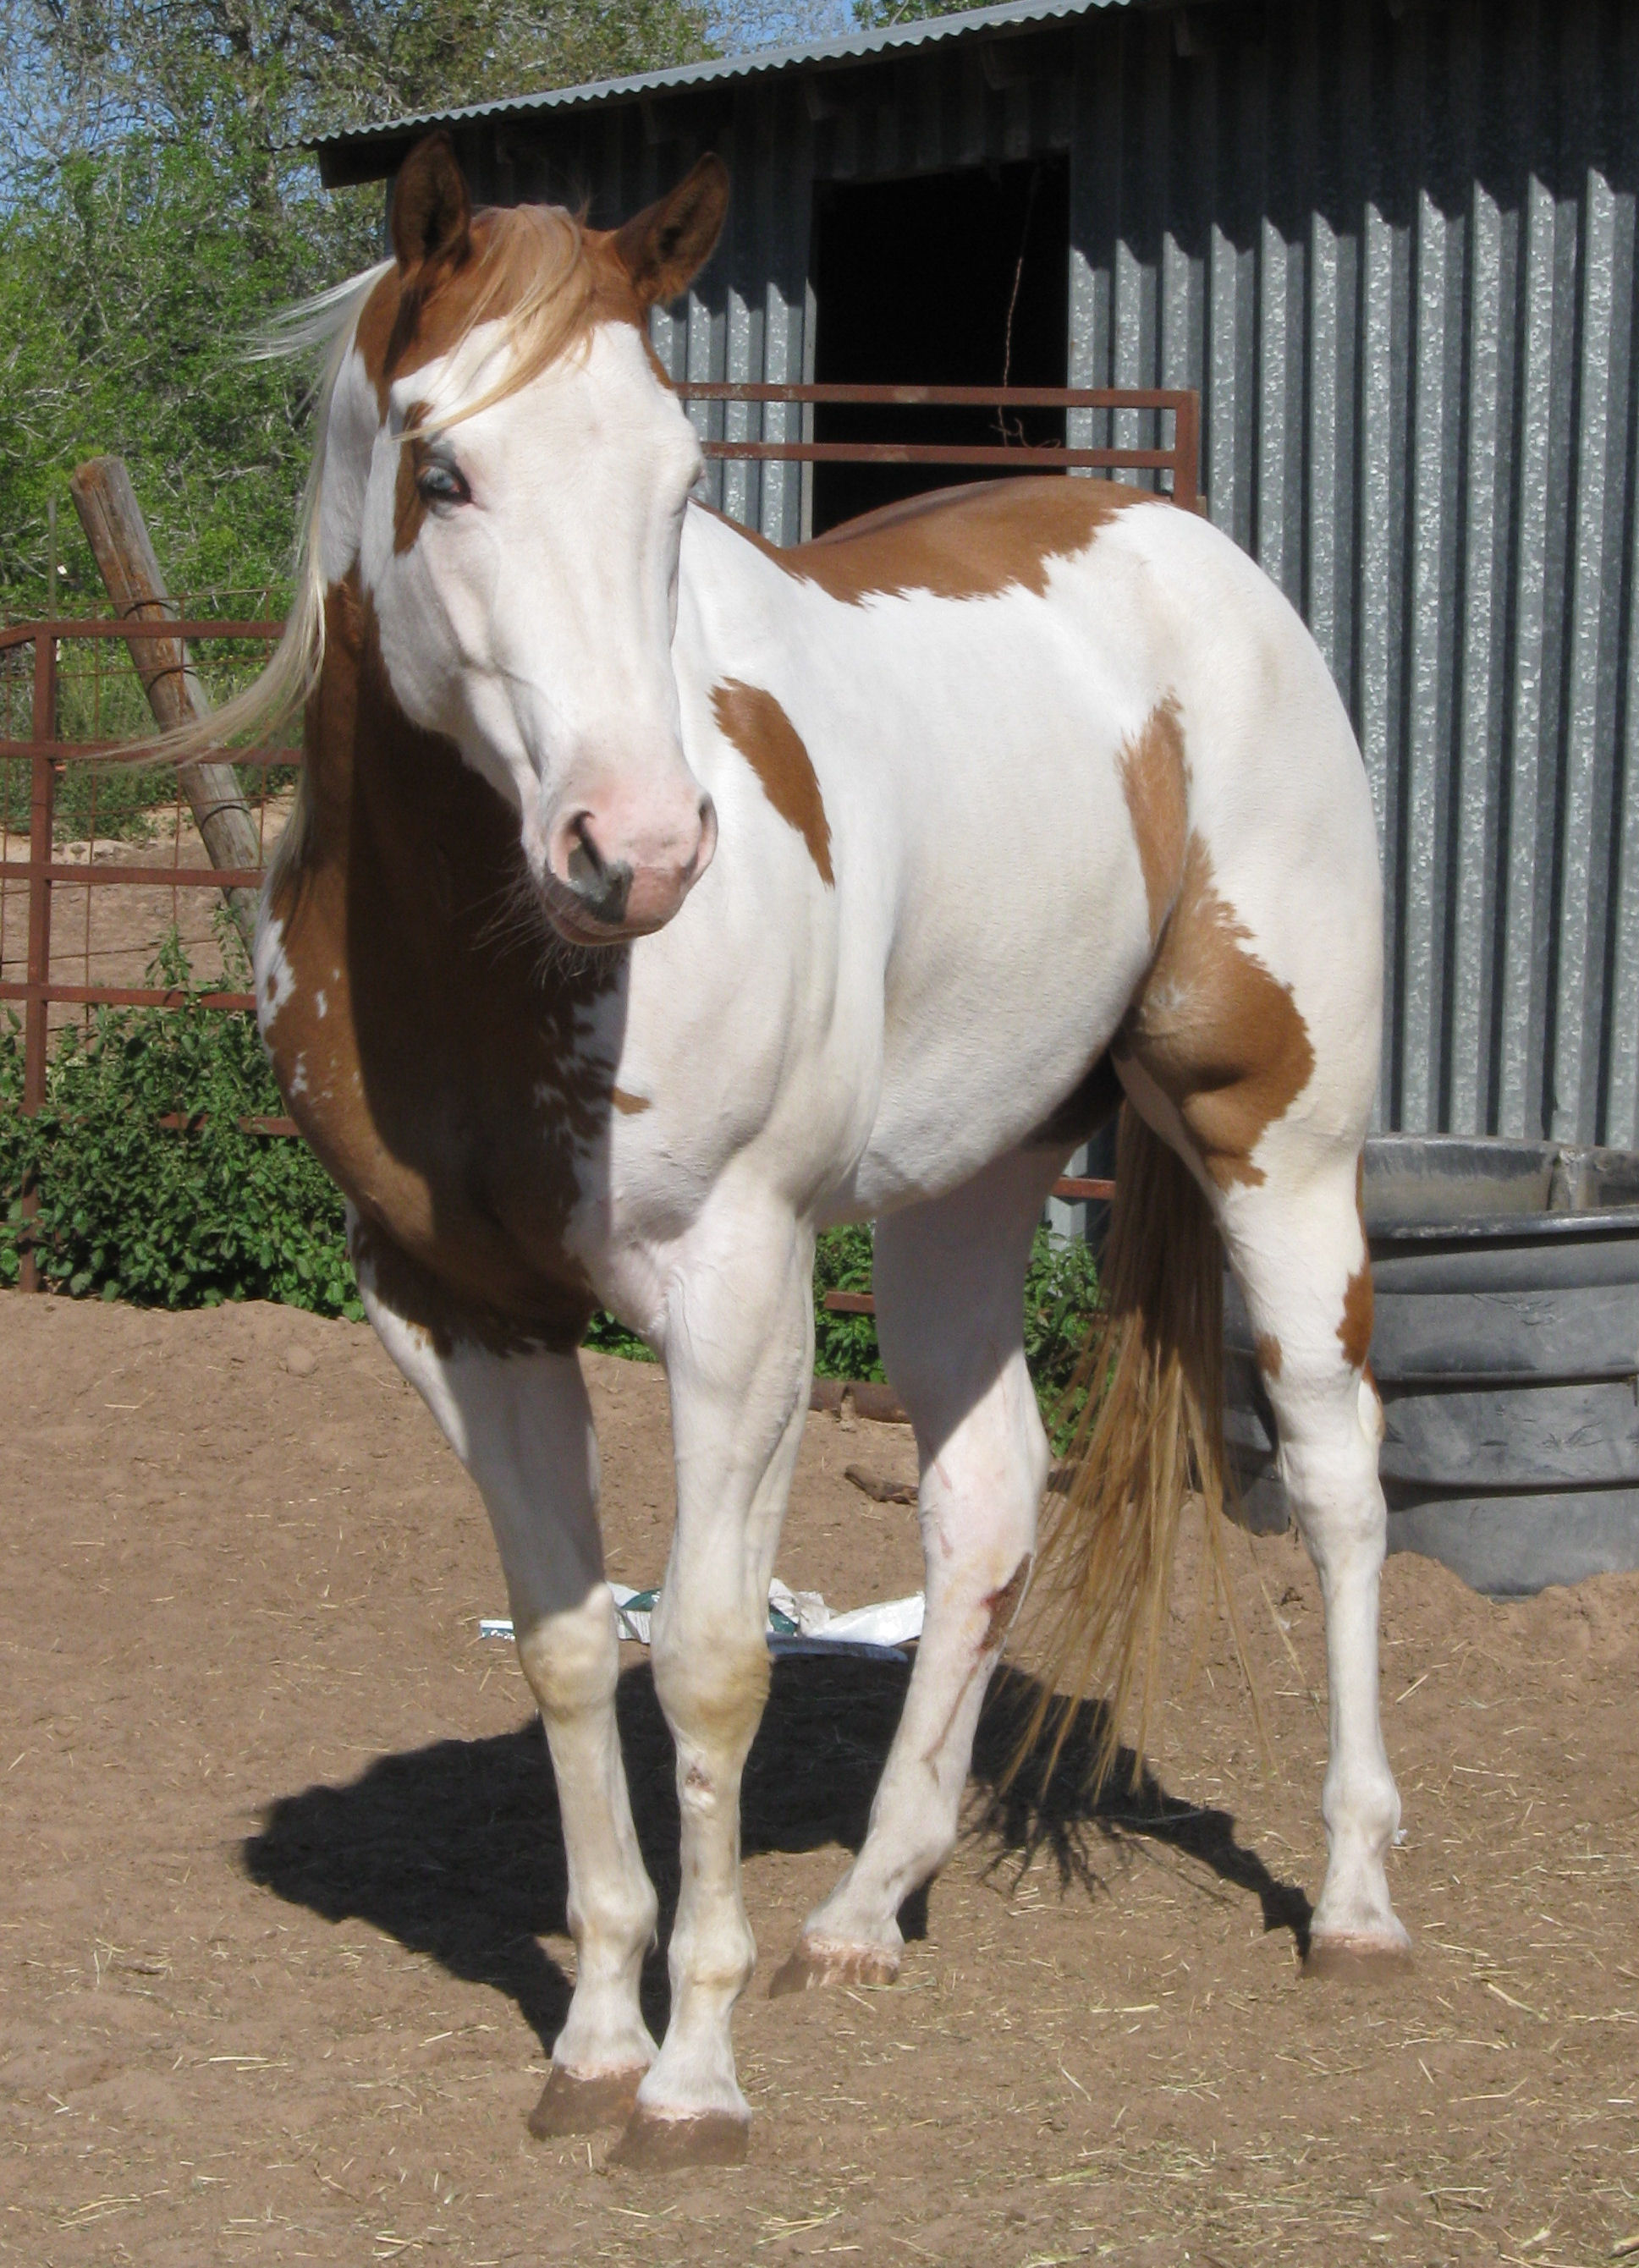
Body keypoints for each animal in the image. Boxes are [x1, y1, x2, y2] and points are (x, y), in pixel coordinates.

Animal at [200, 130, 1409, 2168]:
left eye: (683, 480)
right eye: (443, 470)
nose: (638, 847)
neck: (485, 950)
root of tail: (1188, 556)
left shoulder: (735, 1289)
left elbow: (706, 1656)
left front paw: (690, 2077)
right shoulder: (452, 1310)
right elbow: (565, 1646)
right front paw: (593, 2038)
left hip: (1276, 1140)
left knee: (1331, 1478)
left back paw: (1355, 1900)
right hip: (968, 1181)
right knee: (985, 1488)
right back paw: (860, 1906)